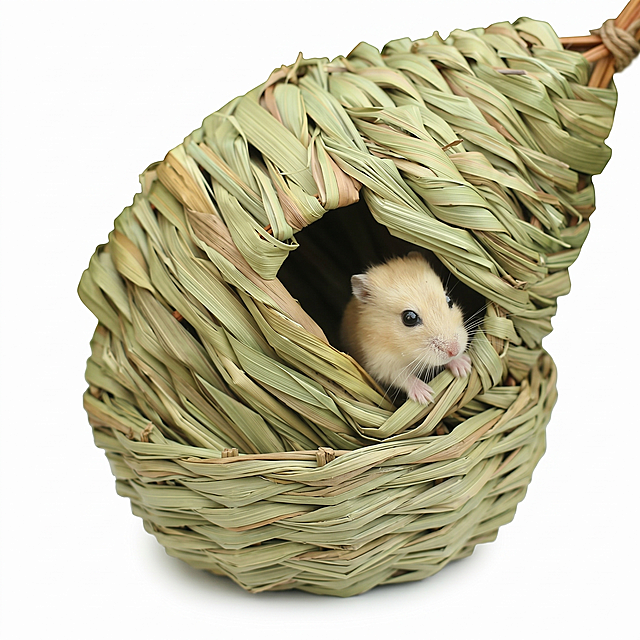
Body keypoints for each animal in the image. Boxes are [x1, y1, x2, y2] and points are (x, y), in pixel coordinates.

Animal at [340, 252, 471, 405]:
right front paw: (426, 397)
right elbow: (403, 377)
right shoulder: (380, 365)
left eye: (449, 300)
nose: (454, 350)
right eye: (409, 318)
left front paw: (464, 367)